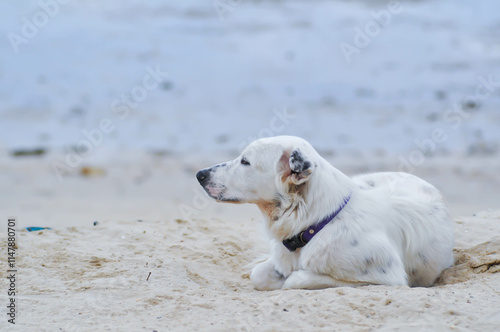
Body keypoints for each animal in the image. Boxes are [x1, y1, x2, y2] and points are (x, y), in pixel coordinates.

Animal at [197, 136, 456, 290]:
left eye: (245, 162)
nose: (200, 174)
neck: (316, 224)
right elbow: (258, 274)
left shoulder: (387, 278)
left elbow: (296, 279)